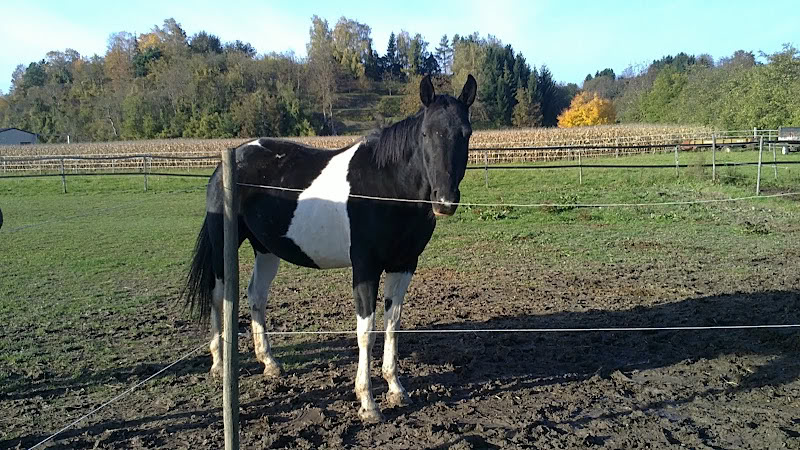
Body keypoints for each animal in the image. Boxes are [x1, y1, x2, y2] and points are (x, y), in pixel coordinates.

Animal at [186, 74, 476, 422]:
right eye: (426, 133)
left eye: (466, 133)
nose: (444, 201)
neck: (387, 187)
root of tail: (230, 160)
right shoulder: (365, 267)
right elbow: (367, 331)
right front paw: (368, 403)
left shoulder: (404, 265)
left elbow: (393, 325)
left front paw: (396, 389)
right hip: (222, 244)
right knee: (218, 295)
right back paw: (219, 363)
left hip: (267, 249)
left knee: (256, 295)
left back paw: (269, 363)